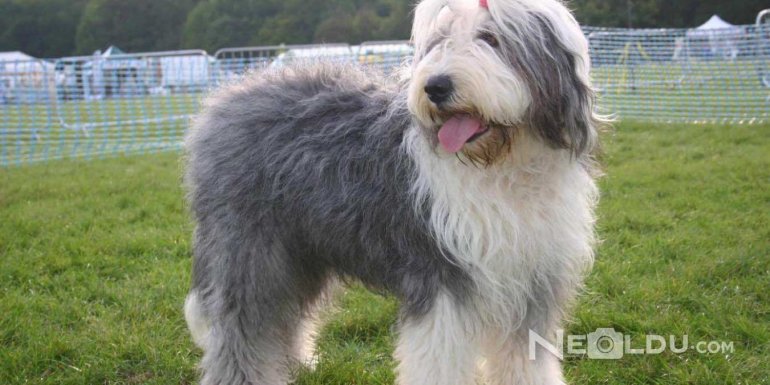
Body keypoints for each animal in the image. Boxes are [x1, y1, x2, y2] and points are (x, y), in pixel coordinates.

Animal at [183, 0, 604, 380]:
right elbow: (439, 361)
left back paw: (297, 364)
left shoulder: (532, 280)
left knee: (286, 314)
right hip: (250, 247)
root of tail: (228, 98)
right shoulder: (442, 277)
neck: (502, 165)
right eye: (439, 42)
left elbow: (525, 359)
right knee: (243, 325)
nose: (436, 87)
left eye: (491, 38)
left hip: (302, 248)